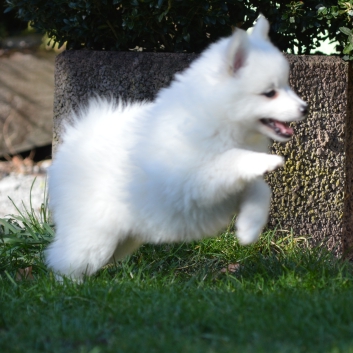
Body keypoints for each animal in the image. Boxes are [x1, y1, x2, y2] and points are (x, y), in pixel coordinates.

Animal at [46, 16, 306, 280]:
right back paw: (69, 285)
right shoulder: (194, 179)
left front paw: (249, 228)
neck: (218, 117)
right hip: (94, 237)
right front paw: (266, 161)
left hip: (123, 239)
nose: (304, 108)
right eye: (269, 93)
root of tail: (77, 137)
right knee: (65, 260)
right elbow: (231, 159)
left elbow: (261, 189)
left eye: (286, 86)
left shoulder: (232, 188)